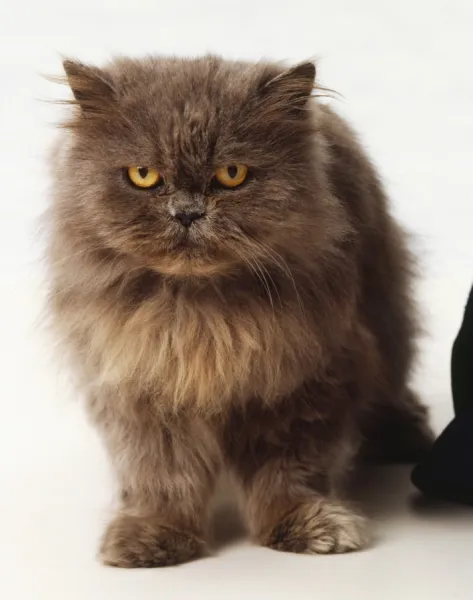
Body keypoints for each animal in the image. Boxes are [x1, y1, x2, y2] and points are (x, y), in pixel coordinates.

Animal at [46, 56, 434, 568]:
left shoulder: (306, 380)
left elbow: (291, 469)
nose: (187, 213)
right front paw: (155, 533)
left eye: (232, 174)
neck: (202, 313)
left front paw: (306, 524)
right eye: (144, 176)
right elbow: (161, 473)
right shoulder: (142, 384)